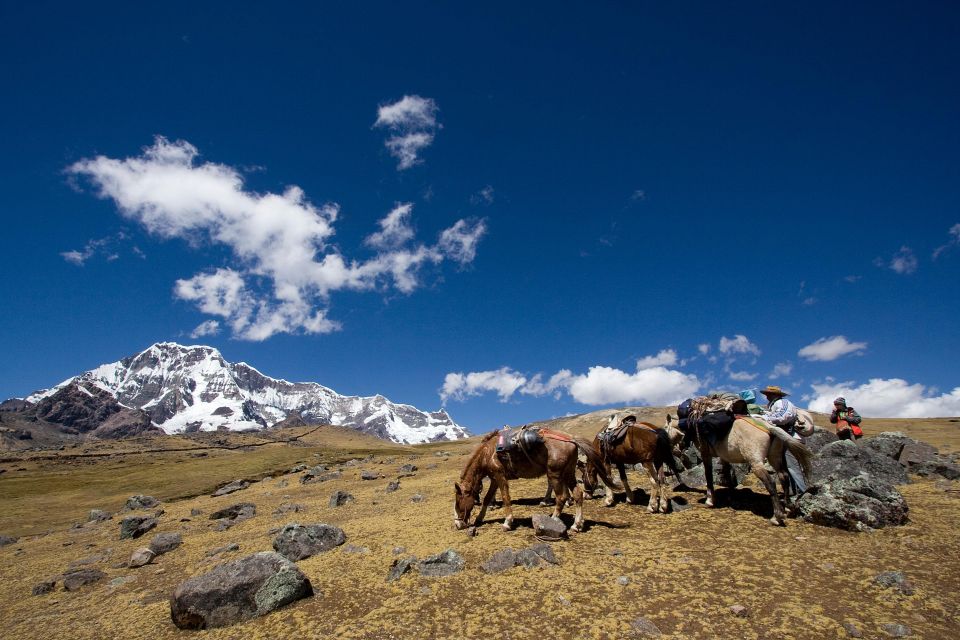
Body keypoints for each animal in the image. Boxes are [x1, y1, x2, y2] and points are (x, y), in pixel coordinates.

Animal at [452, 430, 616, 536]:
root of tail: (571, 440)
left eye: (458, 502)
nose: (457, 525)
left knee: (561, 497)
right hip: (568, 473)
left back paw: (554, 519)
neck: (488, 453)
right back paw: (576, 525)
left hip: (555, 474)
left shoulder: (500, 477)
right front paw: (479, 518)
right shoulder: (494, 479)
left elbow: (505, 498)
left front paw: (507, 523)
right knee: (577, 494)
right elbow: (487, 499)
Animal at [668, 412, 808, 528]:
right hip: (775, 457)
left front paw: (710, 500)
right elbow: (727, 475)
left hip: (756, 462)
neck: (692, 425)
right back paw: (789, 508)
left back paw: (777, 517)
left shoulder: (705, 454)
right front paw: (730, 494)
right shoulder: (724, 457)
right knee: (784, 476)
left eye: (666, 427)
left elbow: (708, 475)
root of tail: (769, 428)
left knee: (771, 483)